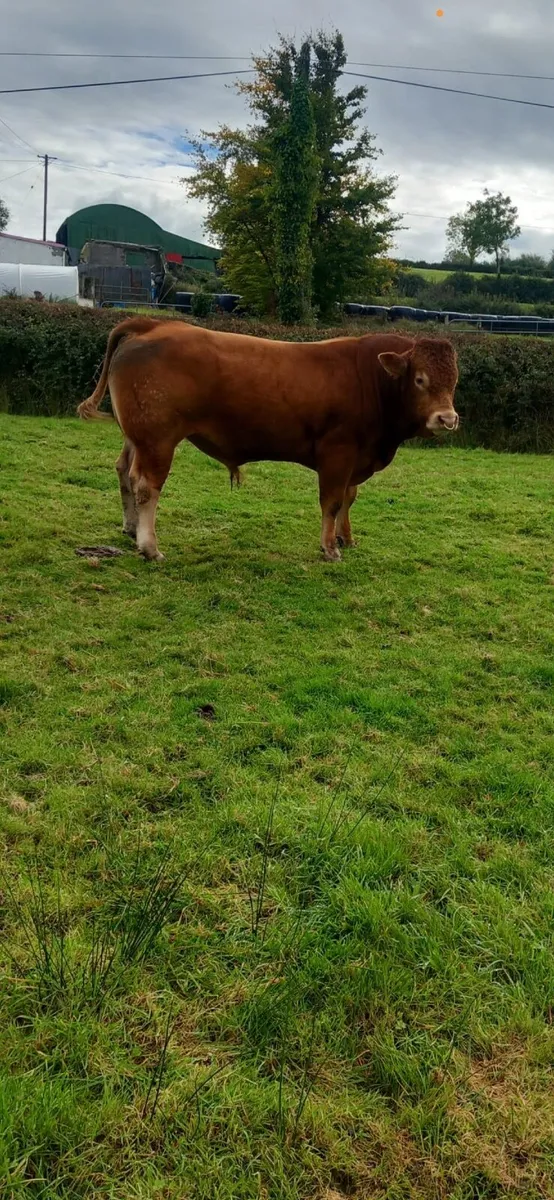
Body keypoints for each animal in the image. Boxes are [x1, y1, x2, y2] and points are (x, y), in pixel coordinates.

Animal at [77, 318, 459, 563]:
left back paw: (130, 528)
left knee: (123, 471)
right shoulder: (337, 454)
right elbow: (333, 501)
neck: (372, 380)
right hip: (158, 440)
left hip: (137, 437)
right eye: (420, 379)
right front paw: (329, 548)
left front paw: (346, 538)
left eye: (454, 381)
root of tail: (151, 324)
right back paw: (149, 546)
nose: (448, 418)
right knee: (146, 485)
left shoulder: (356, 459)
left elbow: (349, 499)